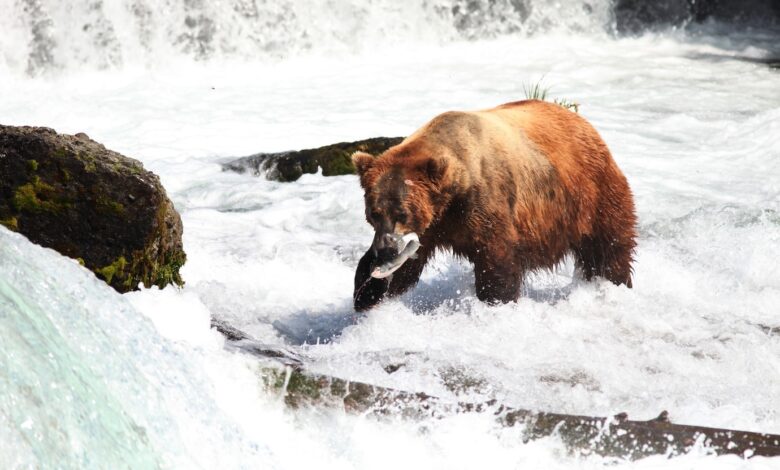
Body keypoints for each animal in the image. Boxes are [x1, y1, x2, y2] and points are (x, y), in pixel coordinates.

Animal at [354, 99, 640, 312]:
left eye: (402, 213)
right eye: (374, 213)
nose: (386, 249)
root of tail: (584, 123)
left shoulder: (485, 203)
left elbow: (496, 258)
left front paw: (496, 302)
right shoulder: (433, 223)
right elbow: (406, 268)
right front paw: (367, 293)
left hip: (589, 195)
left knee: (609, 246)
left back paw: (615, 284)